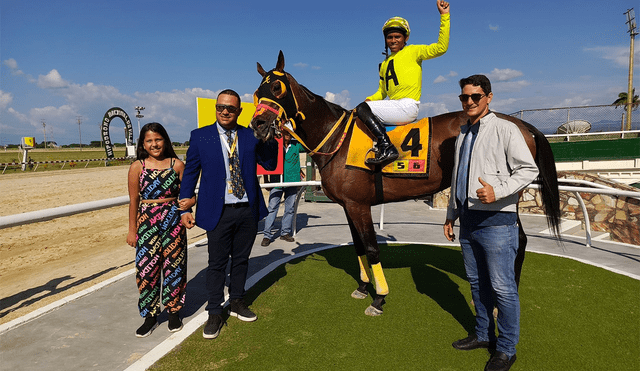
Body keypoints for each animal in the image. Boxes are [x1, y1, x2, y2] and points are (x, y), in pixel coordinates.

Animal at [250, 51, 560, 316]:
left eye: (276, 89)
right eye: (256, 94)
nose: (258, 125)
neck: (337, 138)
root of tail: (522, 125)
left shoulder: (359, 205)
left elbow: (372, 248)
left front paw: (379, 298)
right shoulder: (348, 206)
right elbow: (358, 246)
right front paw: (363, 287)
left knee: (518, 240)